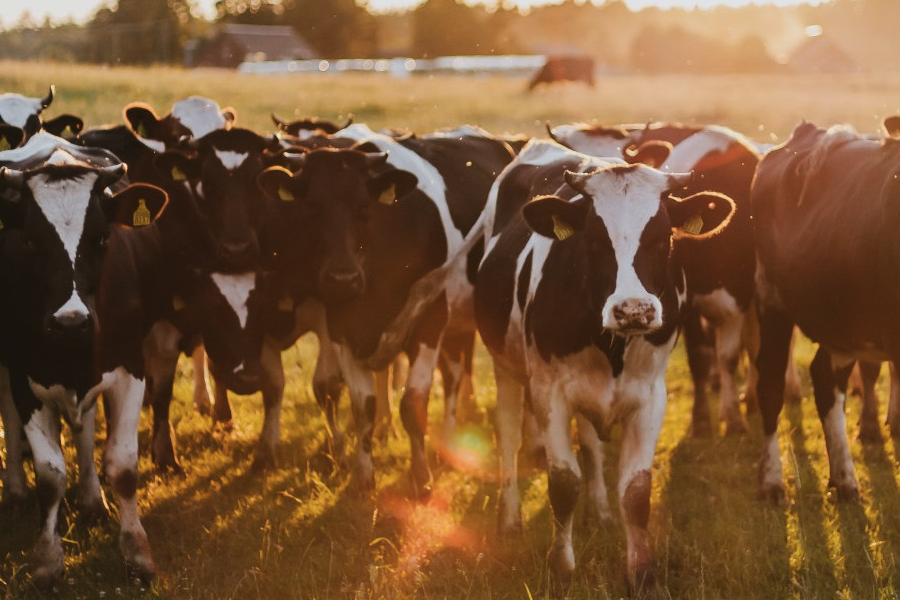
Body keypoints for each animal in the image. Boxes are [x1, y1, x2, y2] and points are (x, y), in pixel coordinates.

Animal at [0, 131, 171, 584]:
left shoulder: (130, 368)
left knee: (86, 426)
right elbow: (50, 475)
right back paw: (15, 491)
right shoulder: (25, 374)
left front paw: (138, 553)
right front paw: (47, 560)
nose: (71, 322)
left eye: (102, 239)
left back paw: (93, 499)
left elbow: (123, 466)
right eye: (29, 241)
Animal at [256, 123, 516, 496]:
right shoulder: (341, 328)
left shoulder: (430, 322)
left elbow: (414, 403)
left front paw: (421, 477)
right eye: (312, 207)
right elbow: (362, 405)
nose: (343, 278)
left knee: (454, 378)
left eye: (365, 207)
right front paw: (363, 476)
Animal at [474, 139, 736, 596]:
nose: (634, 310)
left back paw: (599, 512)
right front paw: (561, 569)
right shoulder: (548, 391)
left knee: (593, 447)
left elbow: (636, 490)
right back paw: (509, 521)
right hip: (504, 366)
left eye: (662, 237)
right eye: (595, 239)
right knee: (507, 437)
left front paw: (642, 574)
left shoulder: (650, 395)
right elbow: (563, 482)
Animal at [552, 120, 804, 436]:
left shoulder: (739, 296)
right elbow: (700, 356)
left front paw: (734, 417)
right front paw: (702, 419)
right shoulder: (690, 303)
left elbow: (730, 355)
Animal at [756, 117, 900, 502]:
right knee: (771, 383)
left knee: (824, 381)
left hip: (842, 324)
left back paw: (844, 479)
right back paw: (771, 482)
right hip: (770, 300)